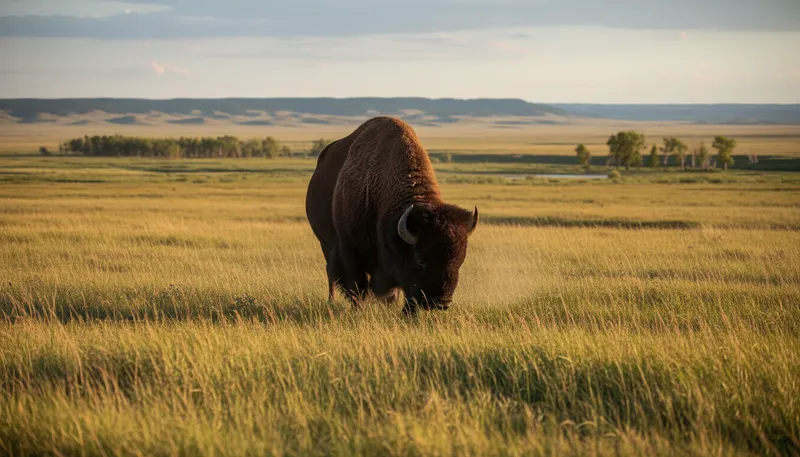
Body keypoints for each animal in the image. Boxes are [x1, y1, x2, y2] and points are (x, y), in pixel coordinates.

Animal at [305, 116, 478, 313]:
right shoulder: (349, 249)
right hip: (325, 244)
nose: (441, 302)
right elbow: (357, 286)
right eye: (419, 259)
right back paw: (331, 302)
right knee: (331, 273)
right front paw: (359, 310)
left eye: (460, 259)